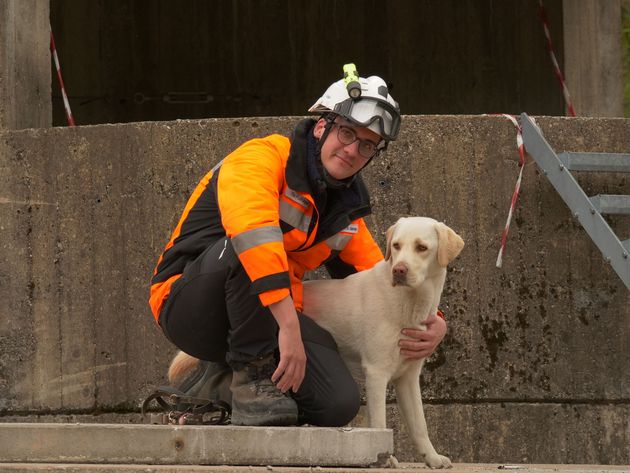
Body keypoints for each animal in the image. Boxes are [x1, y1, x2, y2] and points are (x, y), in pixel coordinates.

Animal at [304, 218, 466, 468]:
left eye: (421, 247)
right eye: (397, 245)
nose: (398, 270)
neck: (410, 303)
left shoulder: (408, 378)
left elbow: (420, 425)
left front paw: (432, 458)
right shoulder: (377, 372)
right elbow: (380, 423)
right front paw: (385, 458)